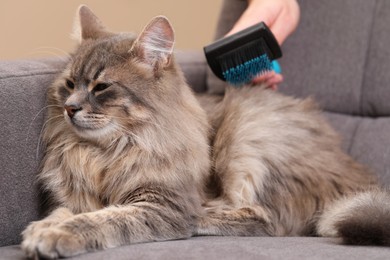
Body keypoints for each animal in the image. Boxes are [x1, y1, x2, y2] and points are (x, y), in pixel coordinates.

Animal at [22, 4, 390, 260]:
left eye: (101, 87)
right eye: (70, 84)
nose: (70, 107)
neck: (104, 153)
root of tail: (355, 173)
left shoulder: (161, 204)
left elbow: (102, 219)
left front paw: (54, 236)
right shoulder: (74, 196)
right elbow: (64, 212)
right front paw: (43, 228)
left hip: (248, 135)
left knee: (263, 219)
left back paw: (204, 214)